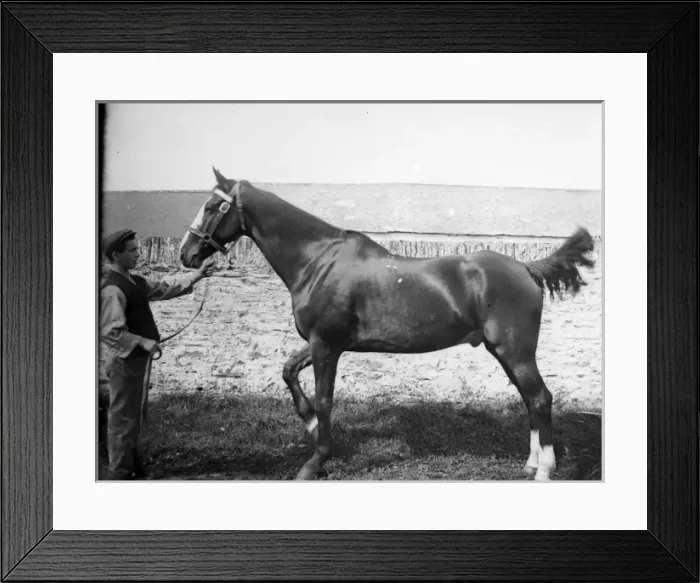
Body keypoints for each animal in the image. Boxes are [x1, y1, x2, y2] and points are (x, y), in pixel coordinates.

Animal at [179, 167, 596, 481]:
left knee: (540, 398)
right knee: (530, 400)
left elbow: (325, 398)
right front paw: (310, 427)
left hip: (515, 351)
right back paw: (530, 464)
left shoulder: (326, 344)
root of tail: (526, 267)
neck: (318, 260)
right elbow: (288, 371)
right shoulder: (322, 343)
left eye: (213, 206)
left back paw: (544, 470)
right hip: (505, 352)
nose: (187, 254)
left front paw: (316, 461)